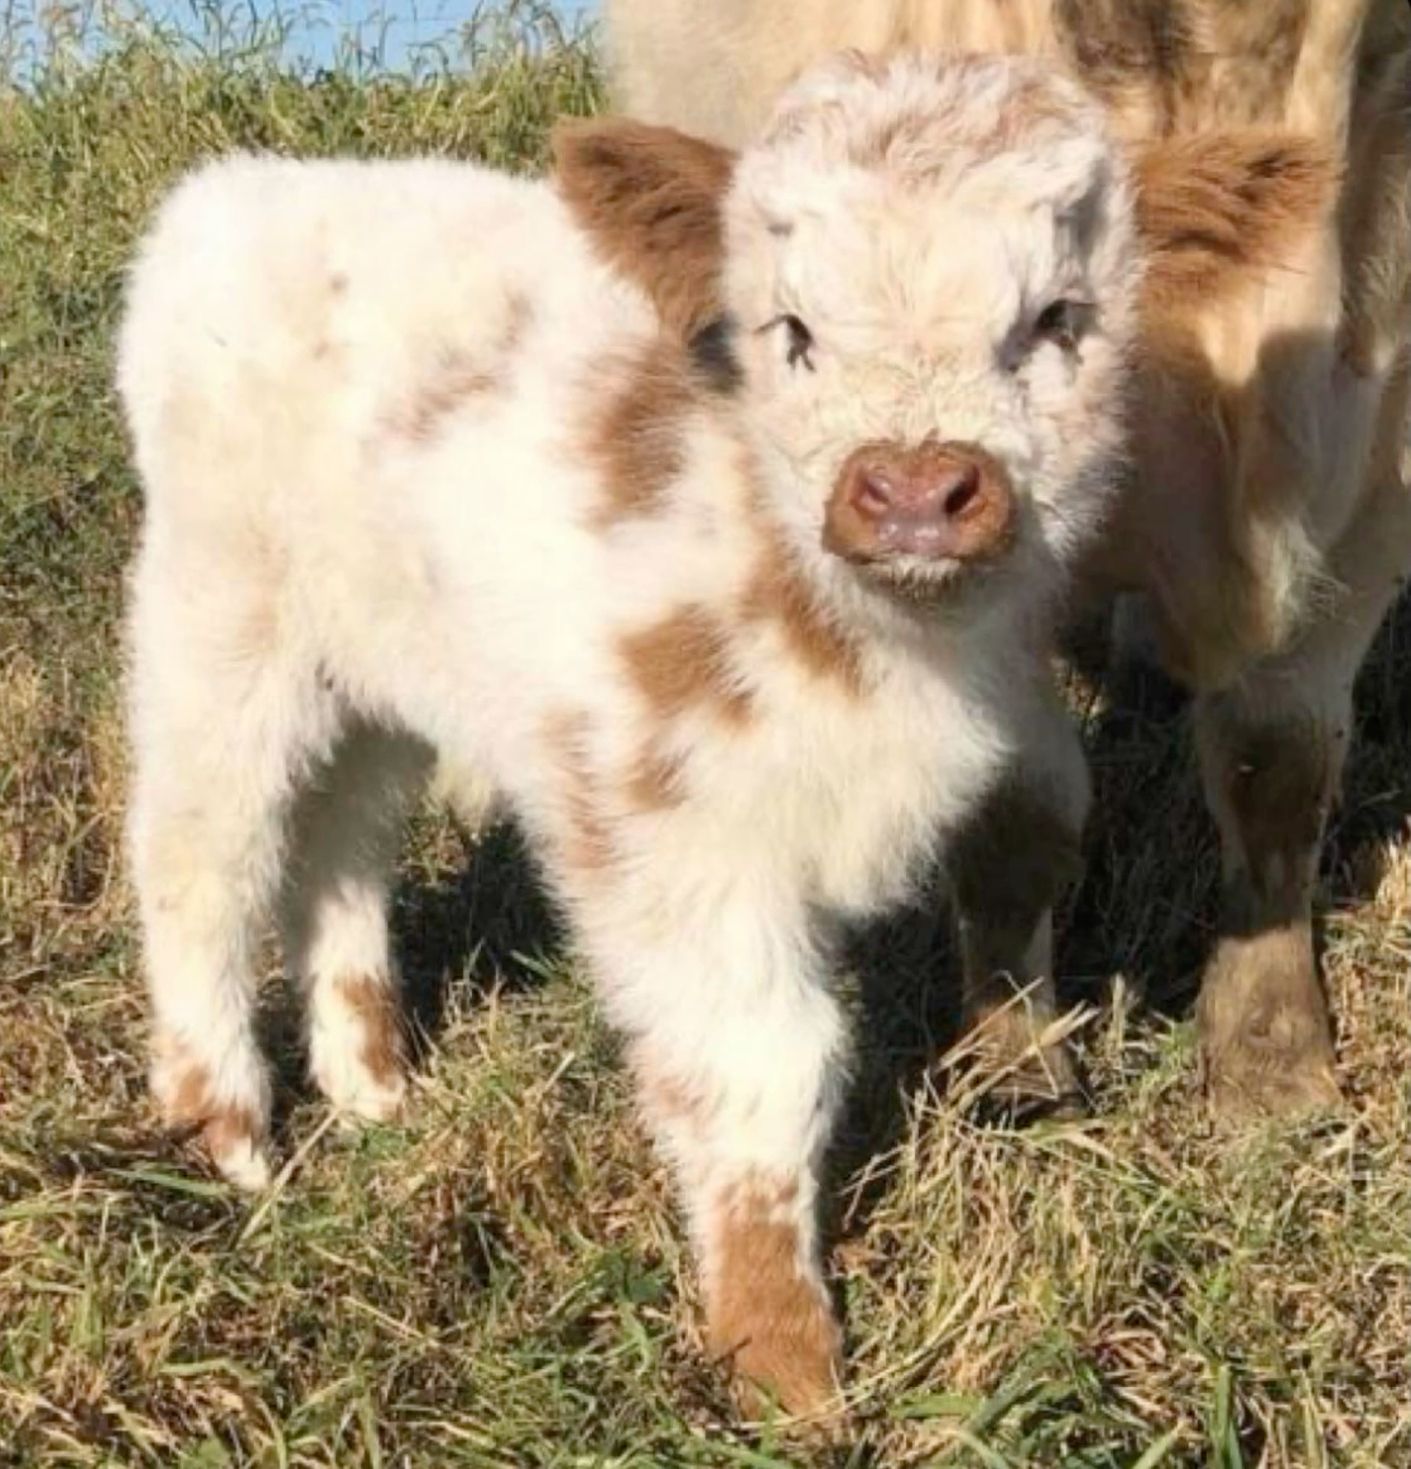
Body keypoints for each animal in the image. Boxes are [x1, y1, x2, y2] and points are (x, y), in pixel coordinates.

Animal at [118, 57, 1133, 1410]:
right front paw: (784, 1364)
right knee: (202, 852)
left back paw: (373, 1083)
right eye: (791, 332)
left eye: (1057, 321)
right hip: (220, 616)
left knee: (341, 839)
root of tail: (240, 190)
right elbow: (763, 1059)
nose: (916, 491)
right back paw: (229, 1132)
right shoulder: (672, 828)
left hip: (380, 656)